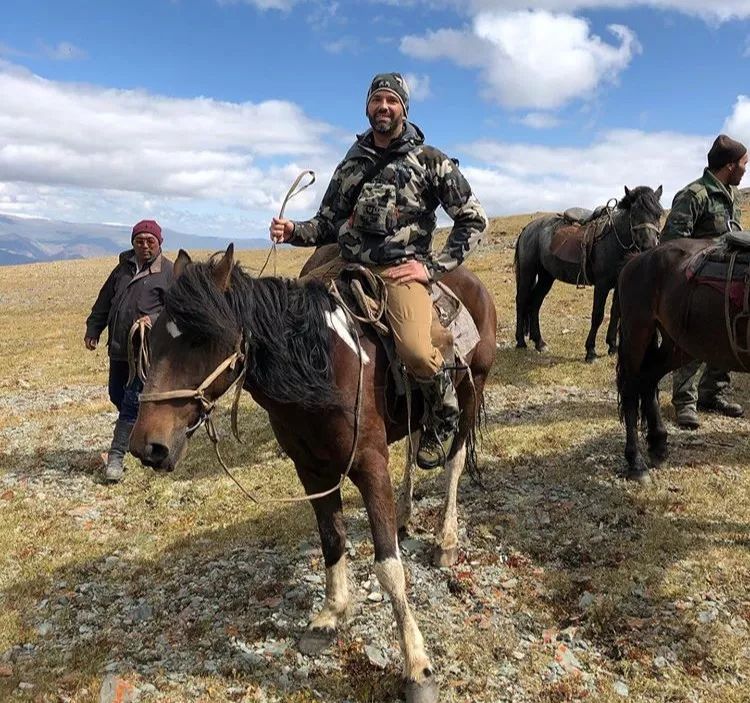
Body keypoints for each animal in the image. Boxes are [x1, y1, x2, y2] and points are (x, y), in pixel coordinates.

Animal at [128, 245, 500, 700]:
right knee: (415, 444)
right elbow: (332, 540)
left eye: (203, 339)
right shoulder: (312, 470)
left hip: (471, 390)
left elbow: (389, 568)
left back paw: (445, 540)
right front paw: (331, 614)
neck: (322, 365)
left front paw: (417, 666)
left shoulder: (370, 466)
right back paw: (405, 515)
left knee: (455, 462)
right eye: (153, 339)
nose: (148, 446)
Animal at [620, 236, 748, 484]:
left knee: (648, 379)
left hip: (678, 345)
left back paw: (658, 444)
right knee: (631, 390)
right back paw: (636, 462)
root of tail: (637, 259)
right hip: (637, 334)